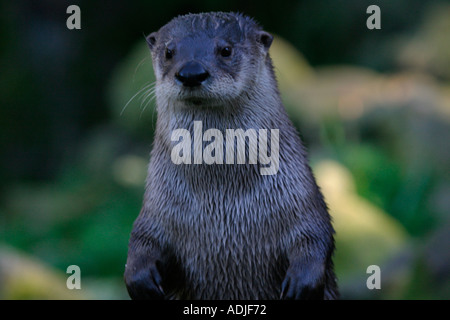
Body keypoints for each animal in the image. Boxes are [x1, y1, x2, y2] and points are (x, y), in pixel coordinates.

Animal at [123, 12, 338, 300]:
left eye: (226, 50)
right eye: (169, 51)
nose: (191, 73)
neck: (223, 197)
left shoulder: (301, 199)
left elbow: (315, 235)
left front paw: (300, 283)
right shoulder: (157, 209)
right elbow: (142, 239)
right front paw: (140, 278)